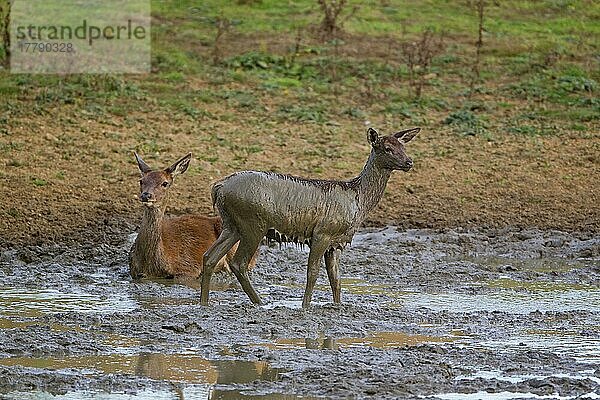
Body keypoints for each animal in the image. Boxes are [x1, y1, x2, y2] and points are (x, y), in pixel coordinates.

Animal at [199, 126, 420, 308]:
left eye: (403, 146)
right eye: (387, 148)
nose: (409, 162)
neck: (358, 201)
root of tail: (218, 188)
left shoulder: (336, 242)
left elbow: (336, 279)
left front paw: (337, 306)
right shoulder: (322, 233)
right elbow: (312, 273)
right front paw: (305, 307)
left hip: (231, 224)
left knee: (210, 256)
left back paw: (204, 303)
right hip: (253, 223)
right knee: (239, 263)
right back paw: (260, 303)